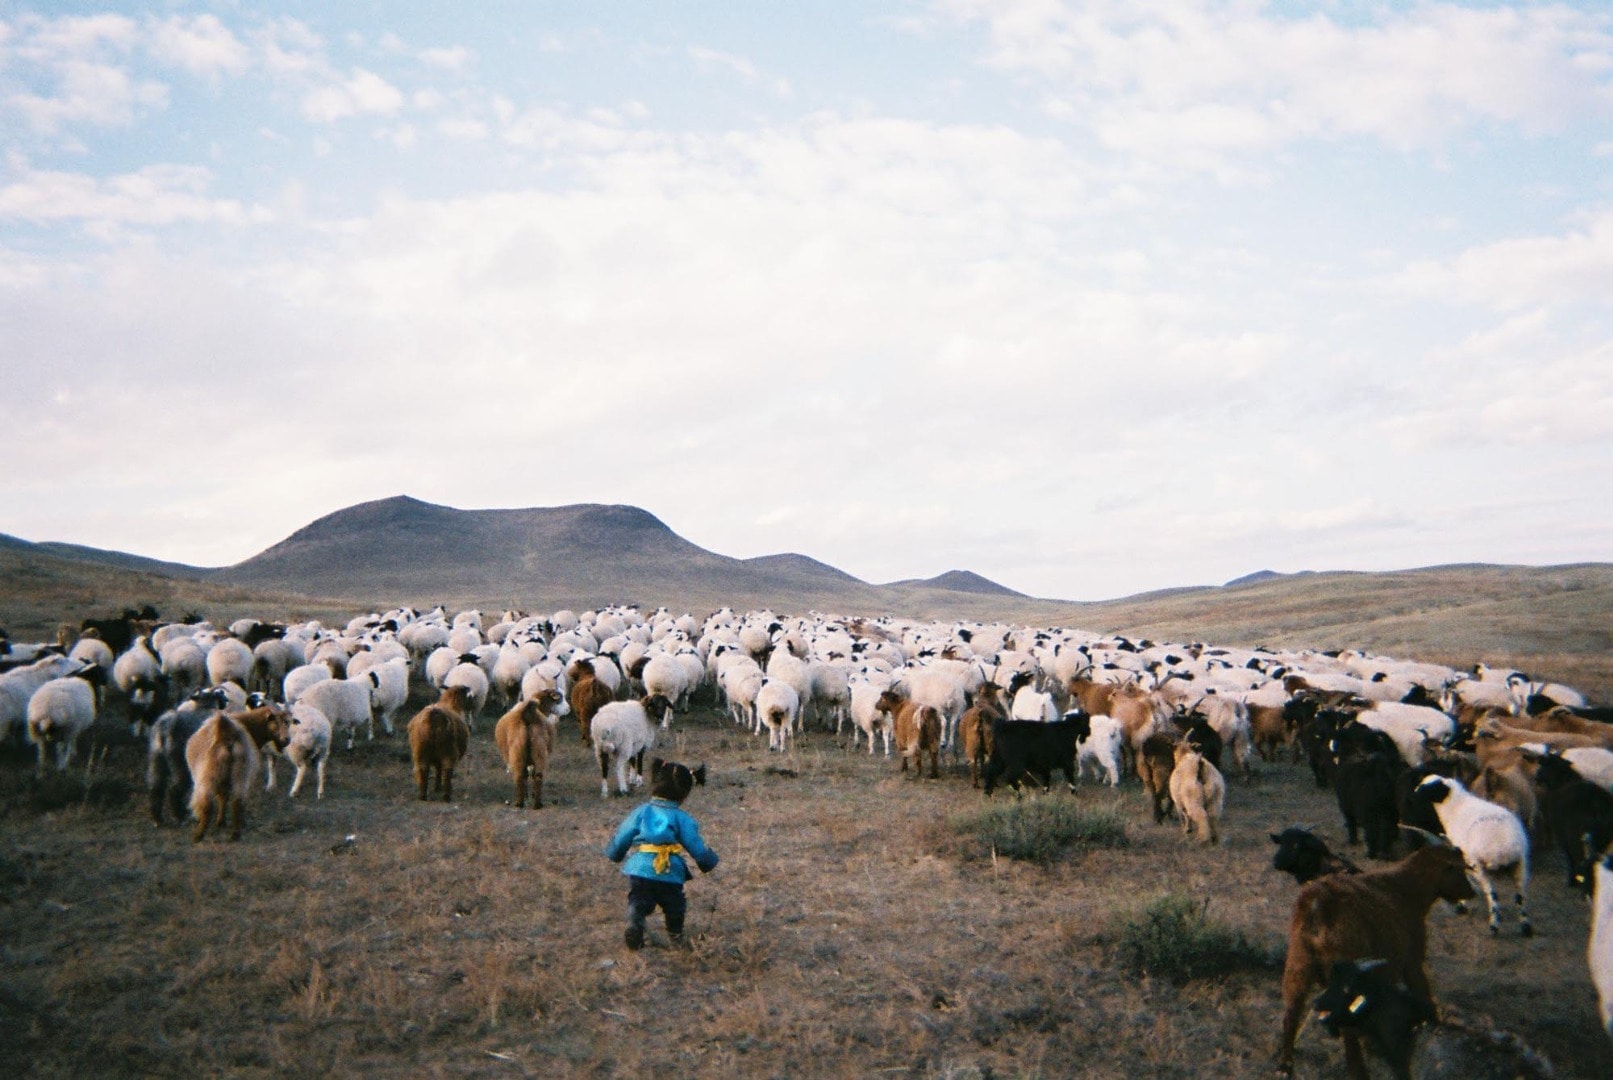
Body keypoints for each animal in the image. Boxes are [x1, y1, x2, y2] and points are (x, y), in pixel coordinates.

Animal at [1419, 780, 1529, 941]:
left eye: (1429, 788)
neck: (1455, 807)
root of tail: (1504, 846)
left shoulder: (1464, 855)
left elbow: (1464, 877)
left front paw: (1462, 904)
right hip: (1520, 865)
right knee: (1520, 896)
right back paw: (1526, 927)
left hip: (1481, 866)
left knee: (1493, 895)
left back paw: (1494, 926)